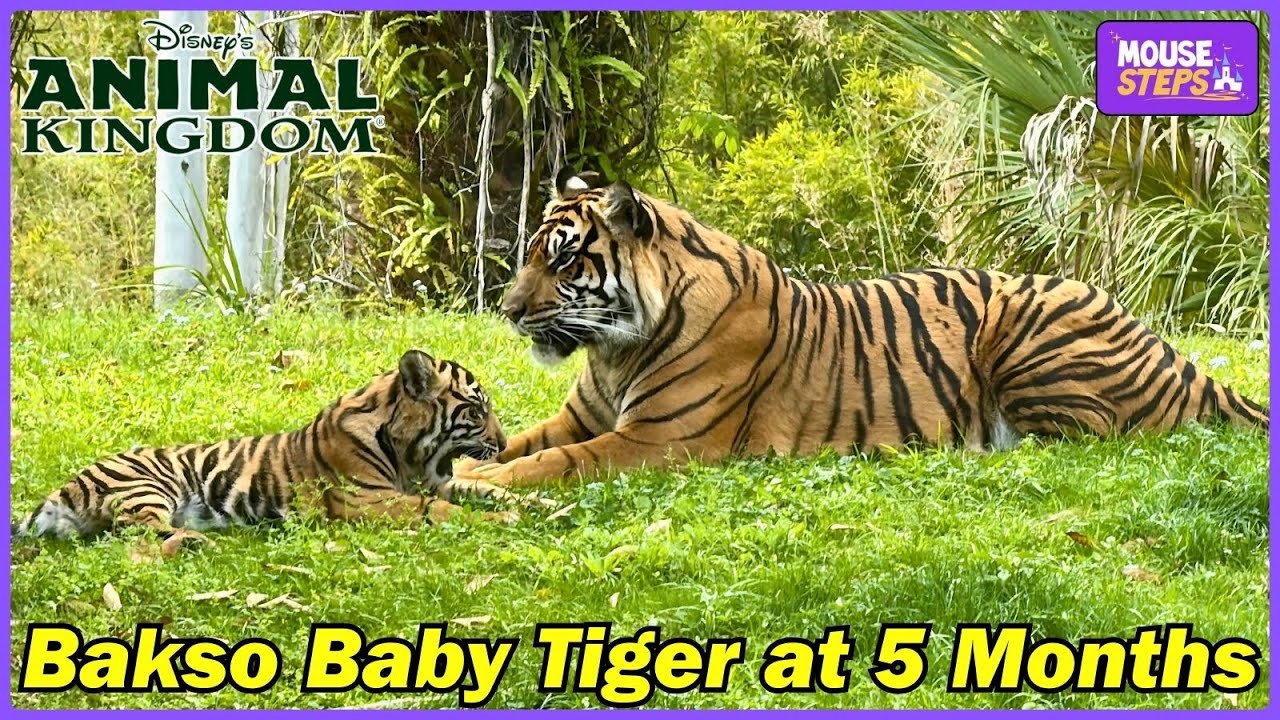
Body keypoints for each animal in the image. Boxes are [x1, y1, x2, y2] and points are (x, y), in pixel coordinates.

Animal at [16, 349, 519, 540]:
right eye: (477, 412)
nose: (503, 443)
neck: (408, 453)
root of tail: (64, 488)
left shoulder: (433, 481)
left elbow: (480, 488)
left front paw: (525, 504)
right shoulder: (364, 500)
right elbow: (438, 509)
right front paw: (503, 519)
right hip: (149, 485)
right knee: (136, 530)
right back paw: (199, 540)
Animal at [448, 169, 1269, 493]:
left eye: (563, 260)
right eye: (529, 256)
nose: (508, 311)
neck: (616, 348)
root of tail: (1170, 349)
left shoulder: (657, 440)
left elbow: (554, 462)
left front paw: (476, 477)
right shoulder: (582, 417)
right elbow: (526, 441)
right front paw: (467, 459)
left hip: (1027, 328)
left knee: (1083, 438)